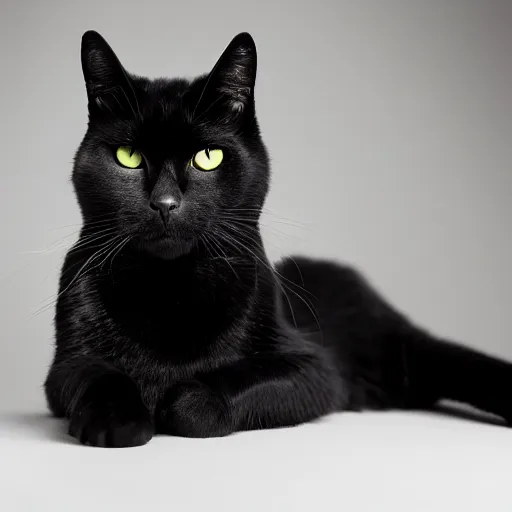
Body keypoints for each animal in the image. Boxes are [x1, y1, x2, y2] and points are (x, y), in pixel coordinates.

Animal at [45, 31, 512, 448]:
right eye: (128, 157)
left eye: (208, 157)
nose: (165, 203)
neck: (171, 290)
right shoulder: (64, 367)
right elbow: (97, 376)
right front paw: (116, 420)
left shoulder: (314, 369)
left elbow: (220, 388)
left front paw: (176, 400)